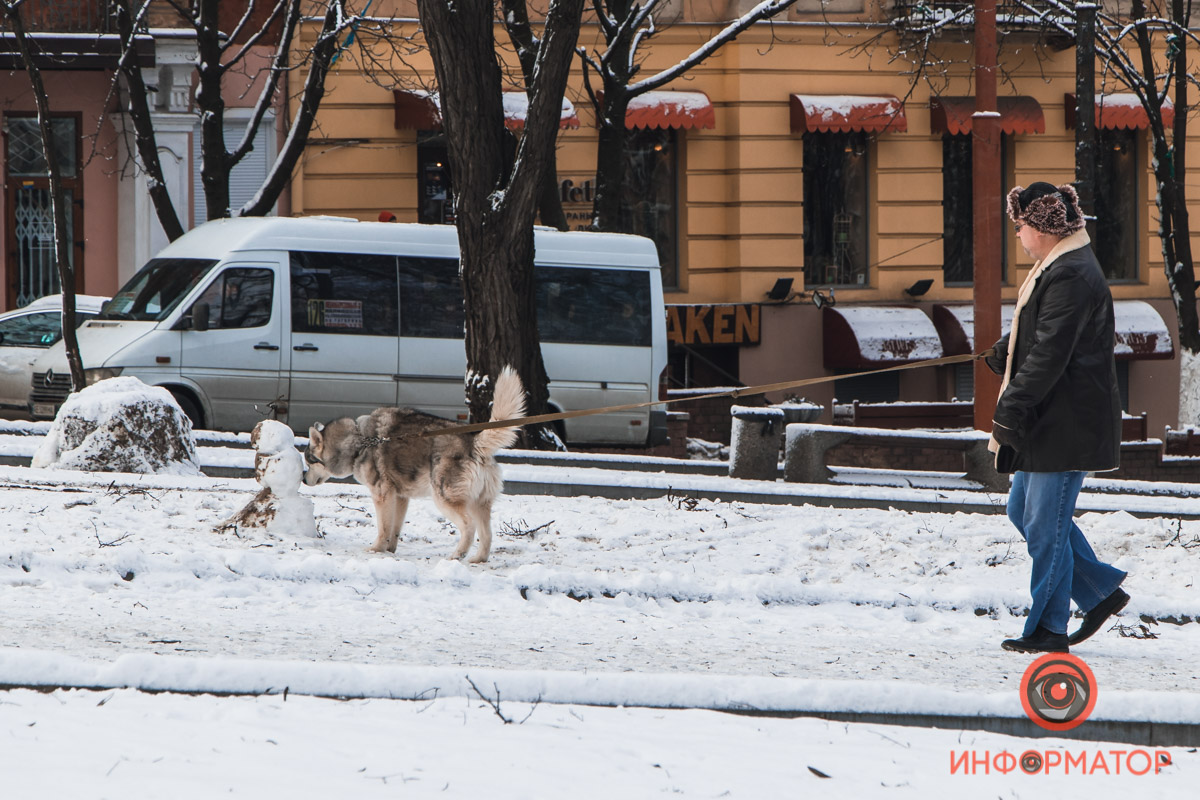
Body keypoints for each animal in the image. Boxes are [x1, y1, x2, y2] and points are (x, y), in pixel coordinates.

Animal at [300, 367, 525, 563]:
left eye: (308, 461)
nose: (302, 478)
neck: (359, 441)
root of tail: (474, 442)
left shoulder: (382, 495)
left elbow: (383, 528)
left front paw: (376, 549)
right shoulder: (400, 498)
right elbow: (394, 529)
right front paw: (389, 550)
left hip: (445, 500)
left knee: (469, 527)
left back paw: (457, 555)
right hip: (479, 504)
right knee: (487, 535)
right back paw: (478, 559)